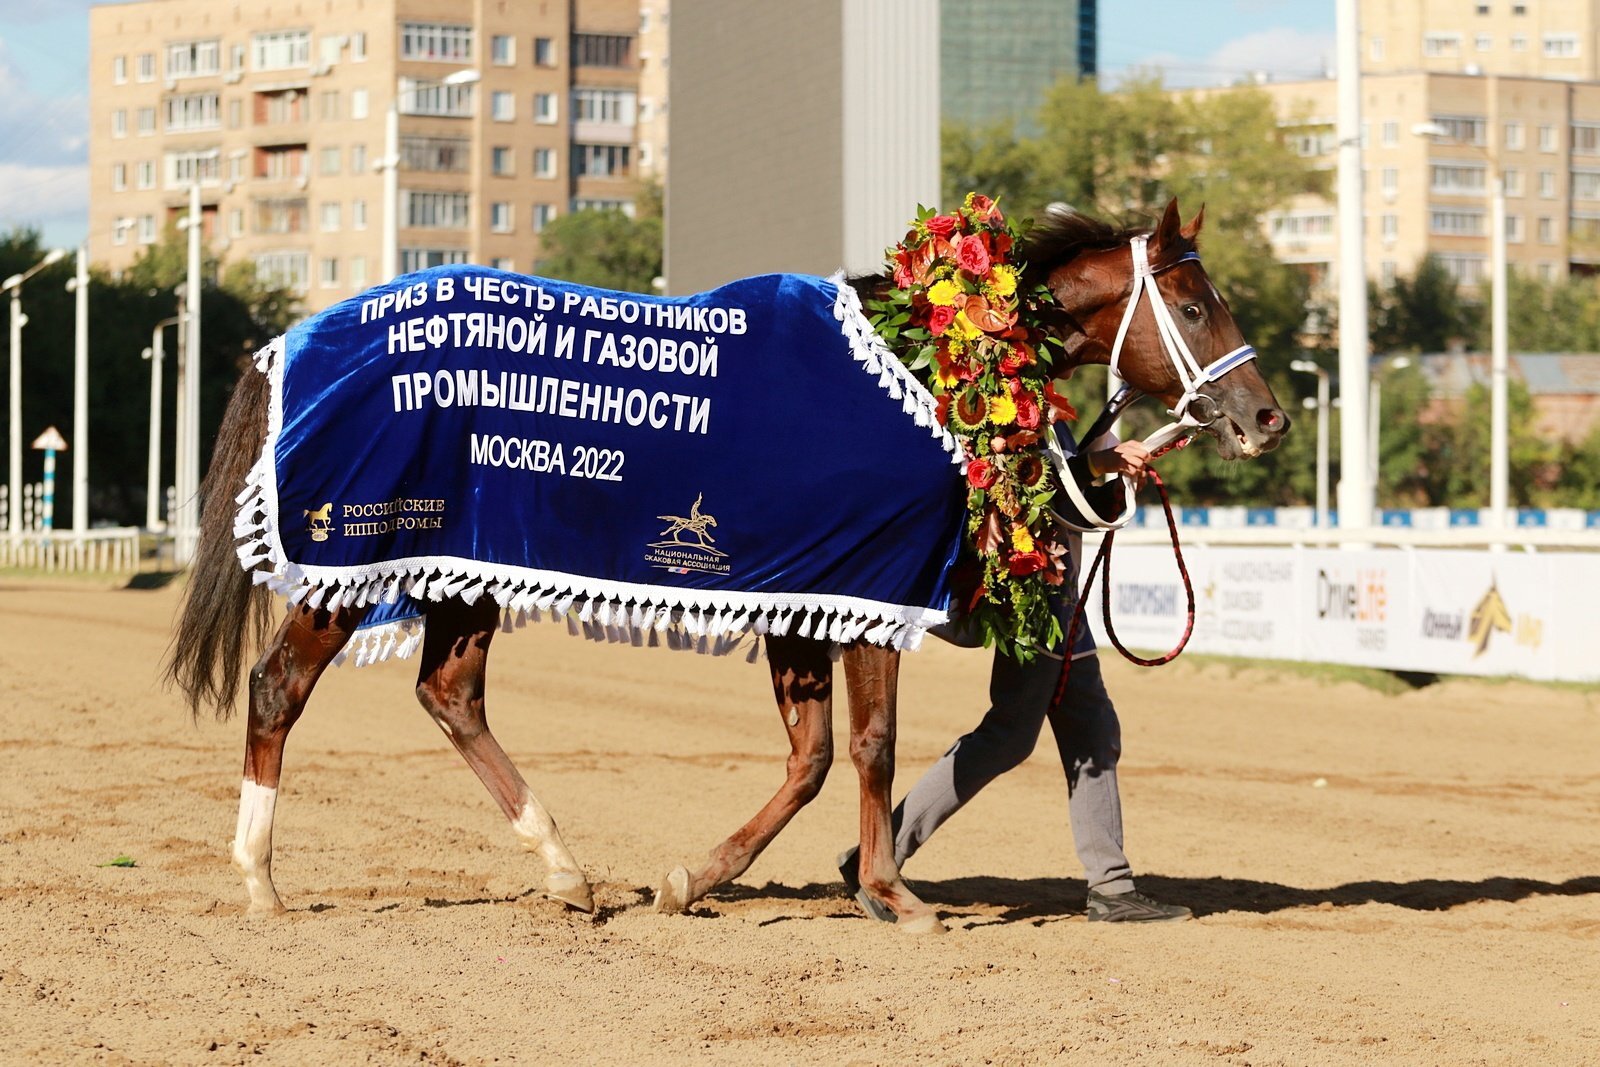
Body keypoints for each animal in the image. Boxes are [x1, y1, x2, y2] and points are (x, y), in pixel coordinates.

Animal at [162, 199, 1286, 934]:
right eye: (1194, 304)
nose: (1266, 414)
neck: (936, 357)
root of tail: (294, 343)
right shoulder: (868, 591)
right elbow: (870, 746)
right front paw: (894, 891)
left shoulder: (806, 597)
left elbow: (813, 757)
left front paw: (696, 877)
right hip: (352, 552)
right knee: (279, 685)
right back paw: (259, 876)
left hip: (466, 564)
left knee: (450, 694)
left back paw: (566, 868)